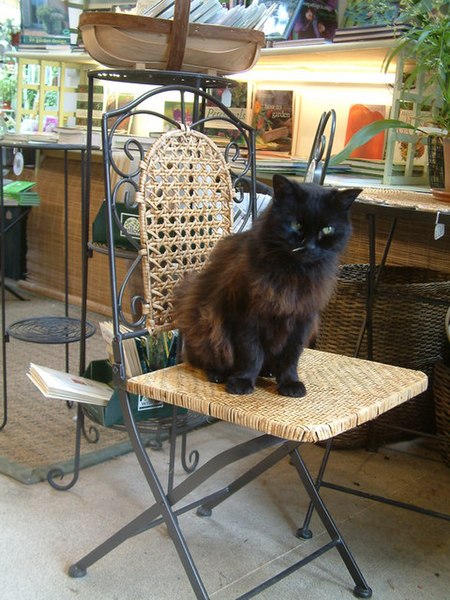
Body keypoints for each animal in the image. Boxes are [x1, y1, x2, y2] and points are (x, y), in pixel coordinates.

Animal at [173, 175, 362, 394]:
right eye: (296, 225)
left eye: (327, 229)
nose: (310, 247)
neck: (293, 274)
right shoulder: (247, 317)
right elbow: (251, 355)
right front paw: (243, 382)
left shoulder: (302, 321)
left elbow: (291, 357)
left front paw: (289, 383)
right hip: (207, 326)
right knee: (205, 359)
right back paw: (218, 374)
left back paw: (270, 372)